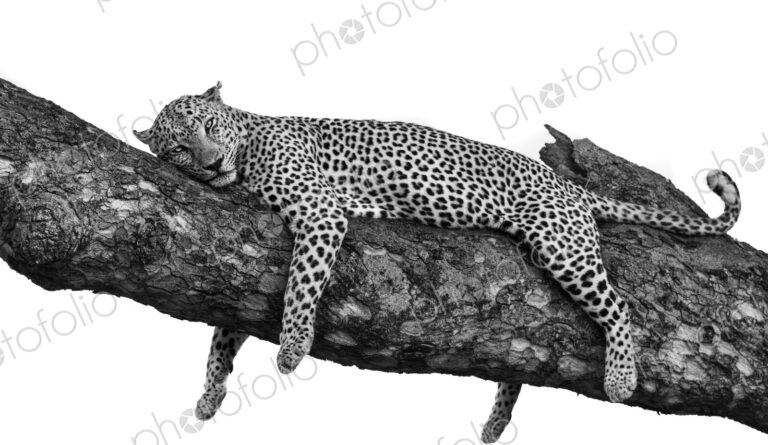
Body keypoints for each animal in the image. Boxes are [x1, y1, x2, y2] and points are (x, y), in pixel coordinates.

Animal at [134, 82, 740, 443]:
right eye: (180, 147)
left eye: (209, 128)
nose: (211, 163)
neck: (250, 136)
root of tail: (568, 184)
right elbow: (224, 332)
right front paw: (210, 395)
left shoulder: (320, 211)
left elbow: (301, 286)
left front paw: (291, 348)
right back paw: (495, 422)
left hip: (562, 244)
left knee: (620, 306)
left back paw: (620, 377)